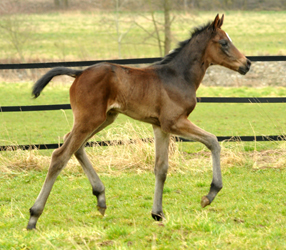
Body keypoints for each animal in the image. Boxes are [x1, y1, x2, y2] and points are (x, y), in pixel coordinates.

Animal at [26, 13, 250, 229]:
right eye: (224, 42)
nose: (247, 64)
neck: (178, 76)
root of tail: (79, 72)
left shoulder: (160, 126)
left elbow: (161, 167)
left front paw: (157, 213)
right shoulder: (173, 122)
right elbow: (213, 141)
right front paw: (210, 194)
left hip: (104, 118)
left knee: (74, 145)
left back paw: (100, 197)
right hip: (90, 119)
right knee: (60, 155)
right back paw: (34, 216)